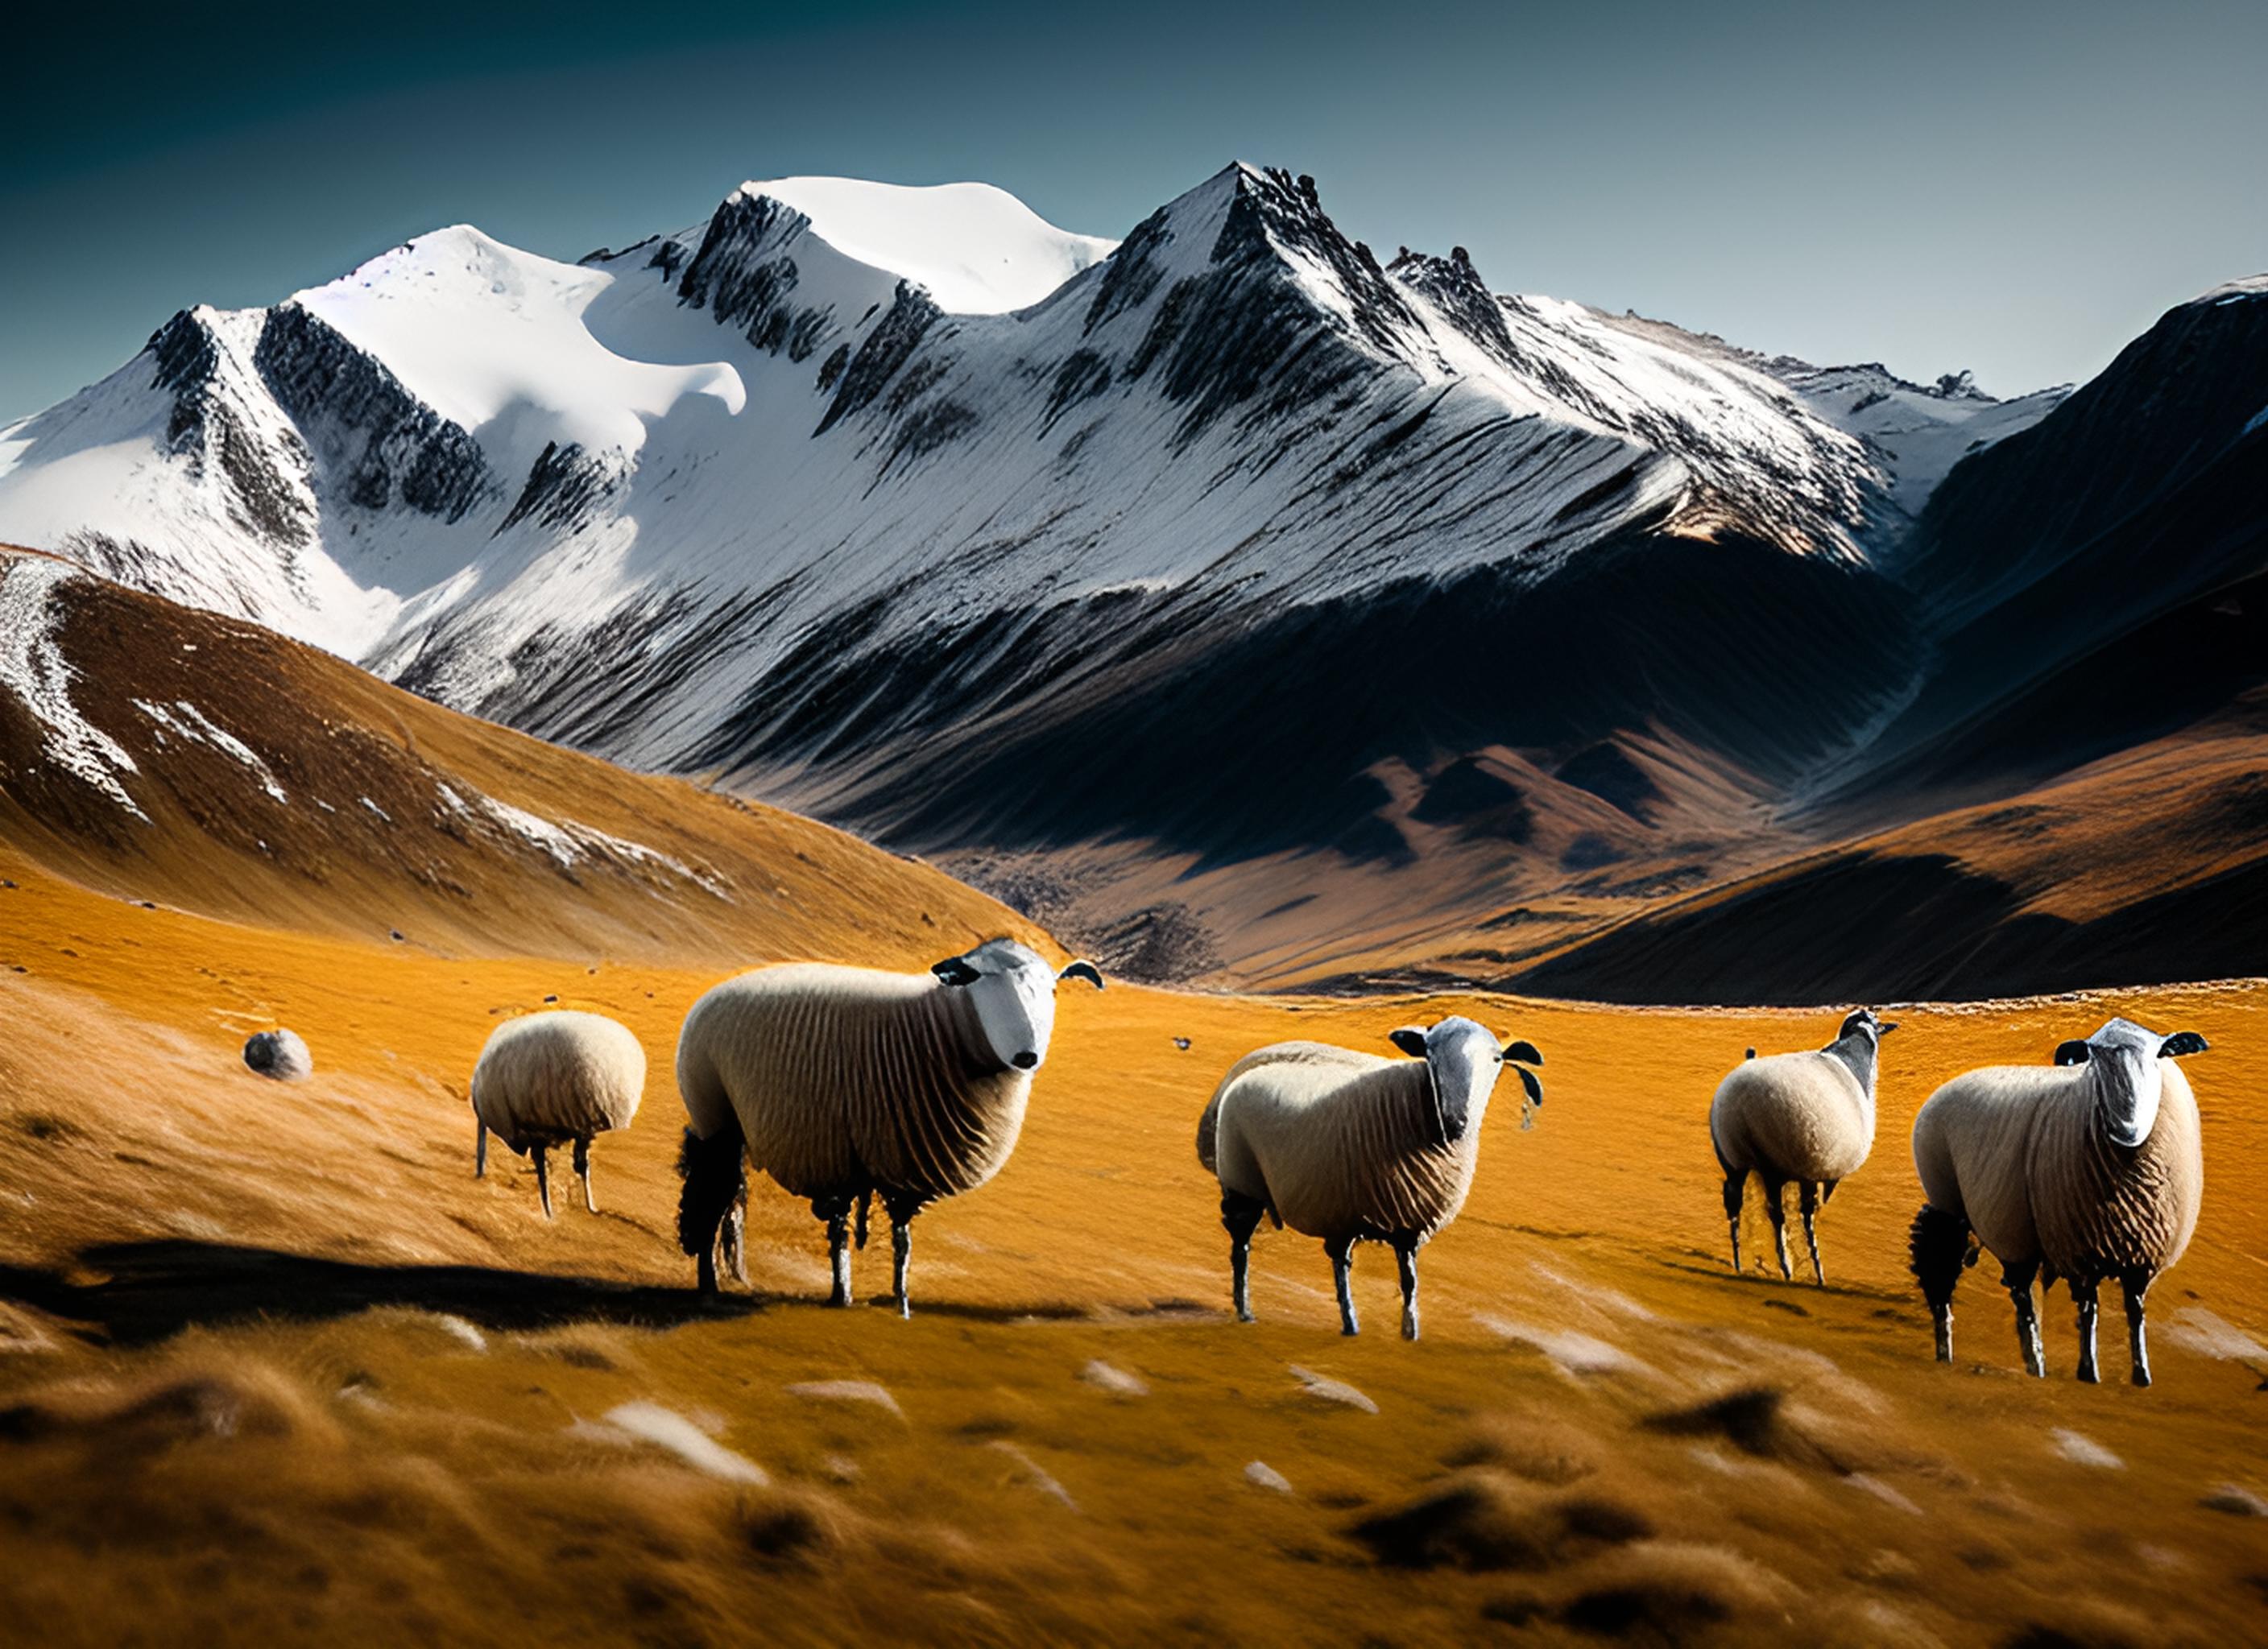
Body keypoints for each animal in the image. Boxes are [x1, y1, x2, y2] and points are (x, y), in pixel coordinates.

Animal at [666, 943, 1102, 1315]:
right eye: (978, 977)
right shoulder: (839, 1152)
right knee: (710, 1197)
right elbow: (840, 1230)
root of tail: (711, 995)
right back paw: (708, 1286)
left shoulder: (903, 1165)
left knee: (728, 1200)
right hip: (716, 1117)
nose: (1027, 1055)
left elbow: (901, 1241)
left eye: (1052, 989)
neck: (941, 1029)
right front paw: (842, 1296)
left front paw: (900, 1304)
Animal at [1188, 1020, 1542, 1342]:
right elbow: (1342, 1271)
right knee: (1240, 1247)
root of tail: (1240, 1072)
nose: (1457, 1120)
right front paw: (1351, 1328)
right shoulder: (1343, 1214)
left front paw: (1409, 1333)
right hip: (1242, 1183)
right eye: (1430, 1055)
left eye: (1496, 1059)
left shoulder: (1409, 1224)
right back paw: (1244, 1310)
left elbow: (1409, 1281)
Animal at [1705, 1006, 1886, 1288]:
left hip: (1732, 1156)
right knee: (1777, 1214)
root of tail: (1741, 1093)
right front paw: (1817, 1272)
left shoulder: (1807, 1173)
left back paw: (1738, 1261)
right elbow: (1808, 1216)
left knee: (1733, 1201)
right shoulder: (1811, 1171)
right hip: (1773, 1164)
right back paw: (1786, 1268)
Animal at [1905, 1011, 2204, 1388]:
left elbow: (2135, 1313)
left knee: (2021, 1295)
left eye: (2160, 1054)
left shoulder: (2140, 1259)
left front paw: (2142, 1376)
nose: (2126, 1126)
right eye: (2093, 1057)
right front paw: (2088, 1373)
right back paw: (1957, 1352)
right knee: (1942, 1276)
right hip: (1951, 1206)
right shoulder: (2080, 1253)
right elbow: (2088, 1313)